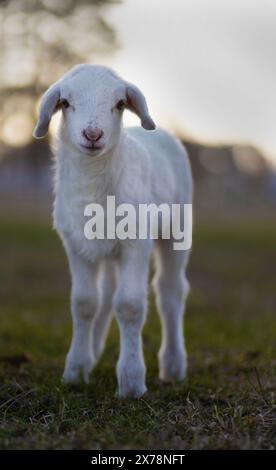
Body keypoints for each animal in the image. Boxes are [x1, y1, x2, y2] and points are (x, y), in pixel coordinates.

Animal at [33, 64, 193, 398]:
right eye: (65, 102)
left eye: (119, 104)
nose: (93, 134)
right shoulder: (75, 244)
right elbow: (84, 303)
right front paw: (75, 371)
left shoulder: (136, 243)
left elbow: (130, 305)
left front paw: (131, 382)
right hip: (104, 248)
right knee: (105, 295)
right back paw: (93, 354)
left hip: (178, 228)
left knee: (170, 291)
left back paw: (173, 366)